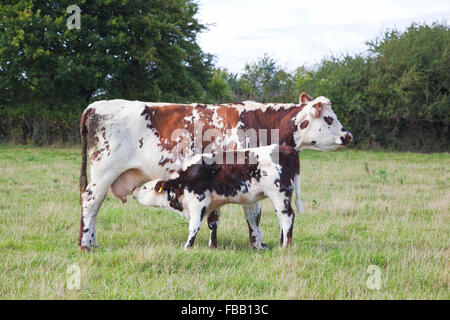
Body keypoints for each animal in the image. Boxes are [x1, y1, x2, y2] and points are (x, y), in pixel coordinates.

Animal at [133, 145, 302, 250]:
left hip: (280, 194)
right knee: (282, 218)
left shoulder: (198, 203)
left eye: (145, 187)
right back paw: (280, 244)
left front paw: (187, 247)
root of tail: (289, 149)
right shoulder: (212, 204)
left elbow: (193, 226)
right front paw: (211, 246)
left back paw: (285, 247)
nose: (134, 190)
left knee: (287, 216)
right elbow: (212, 224)